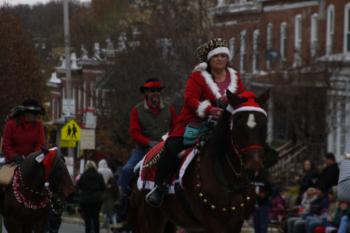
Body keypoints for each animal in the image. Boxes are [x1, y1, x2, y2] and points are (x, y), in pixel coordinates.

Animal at [129, 90, 268, 233]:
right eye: (238, 126)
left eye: (264, 125)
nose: (254, 165)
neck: (231, 180)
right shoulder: (213, 223)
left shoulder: (236, 223)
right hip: (151, 220)